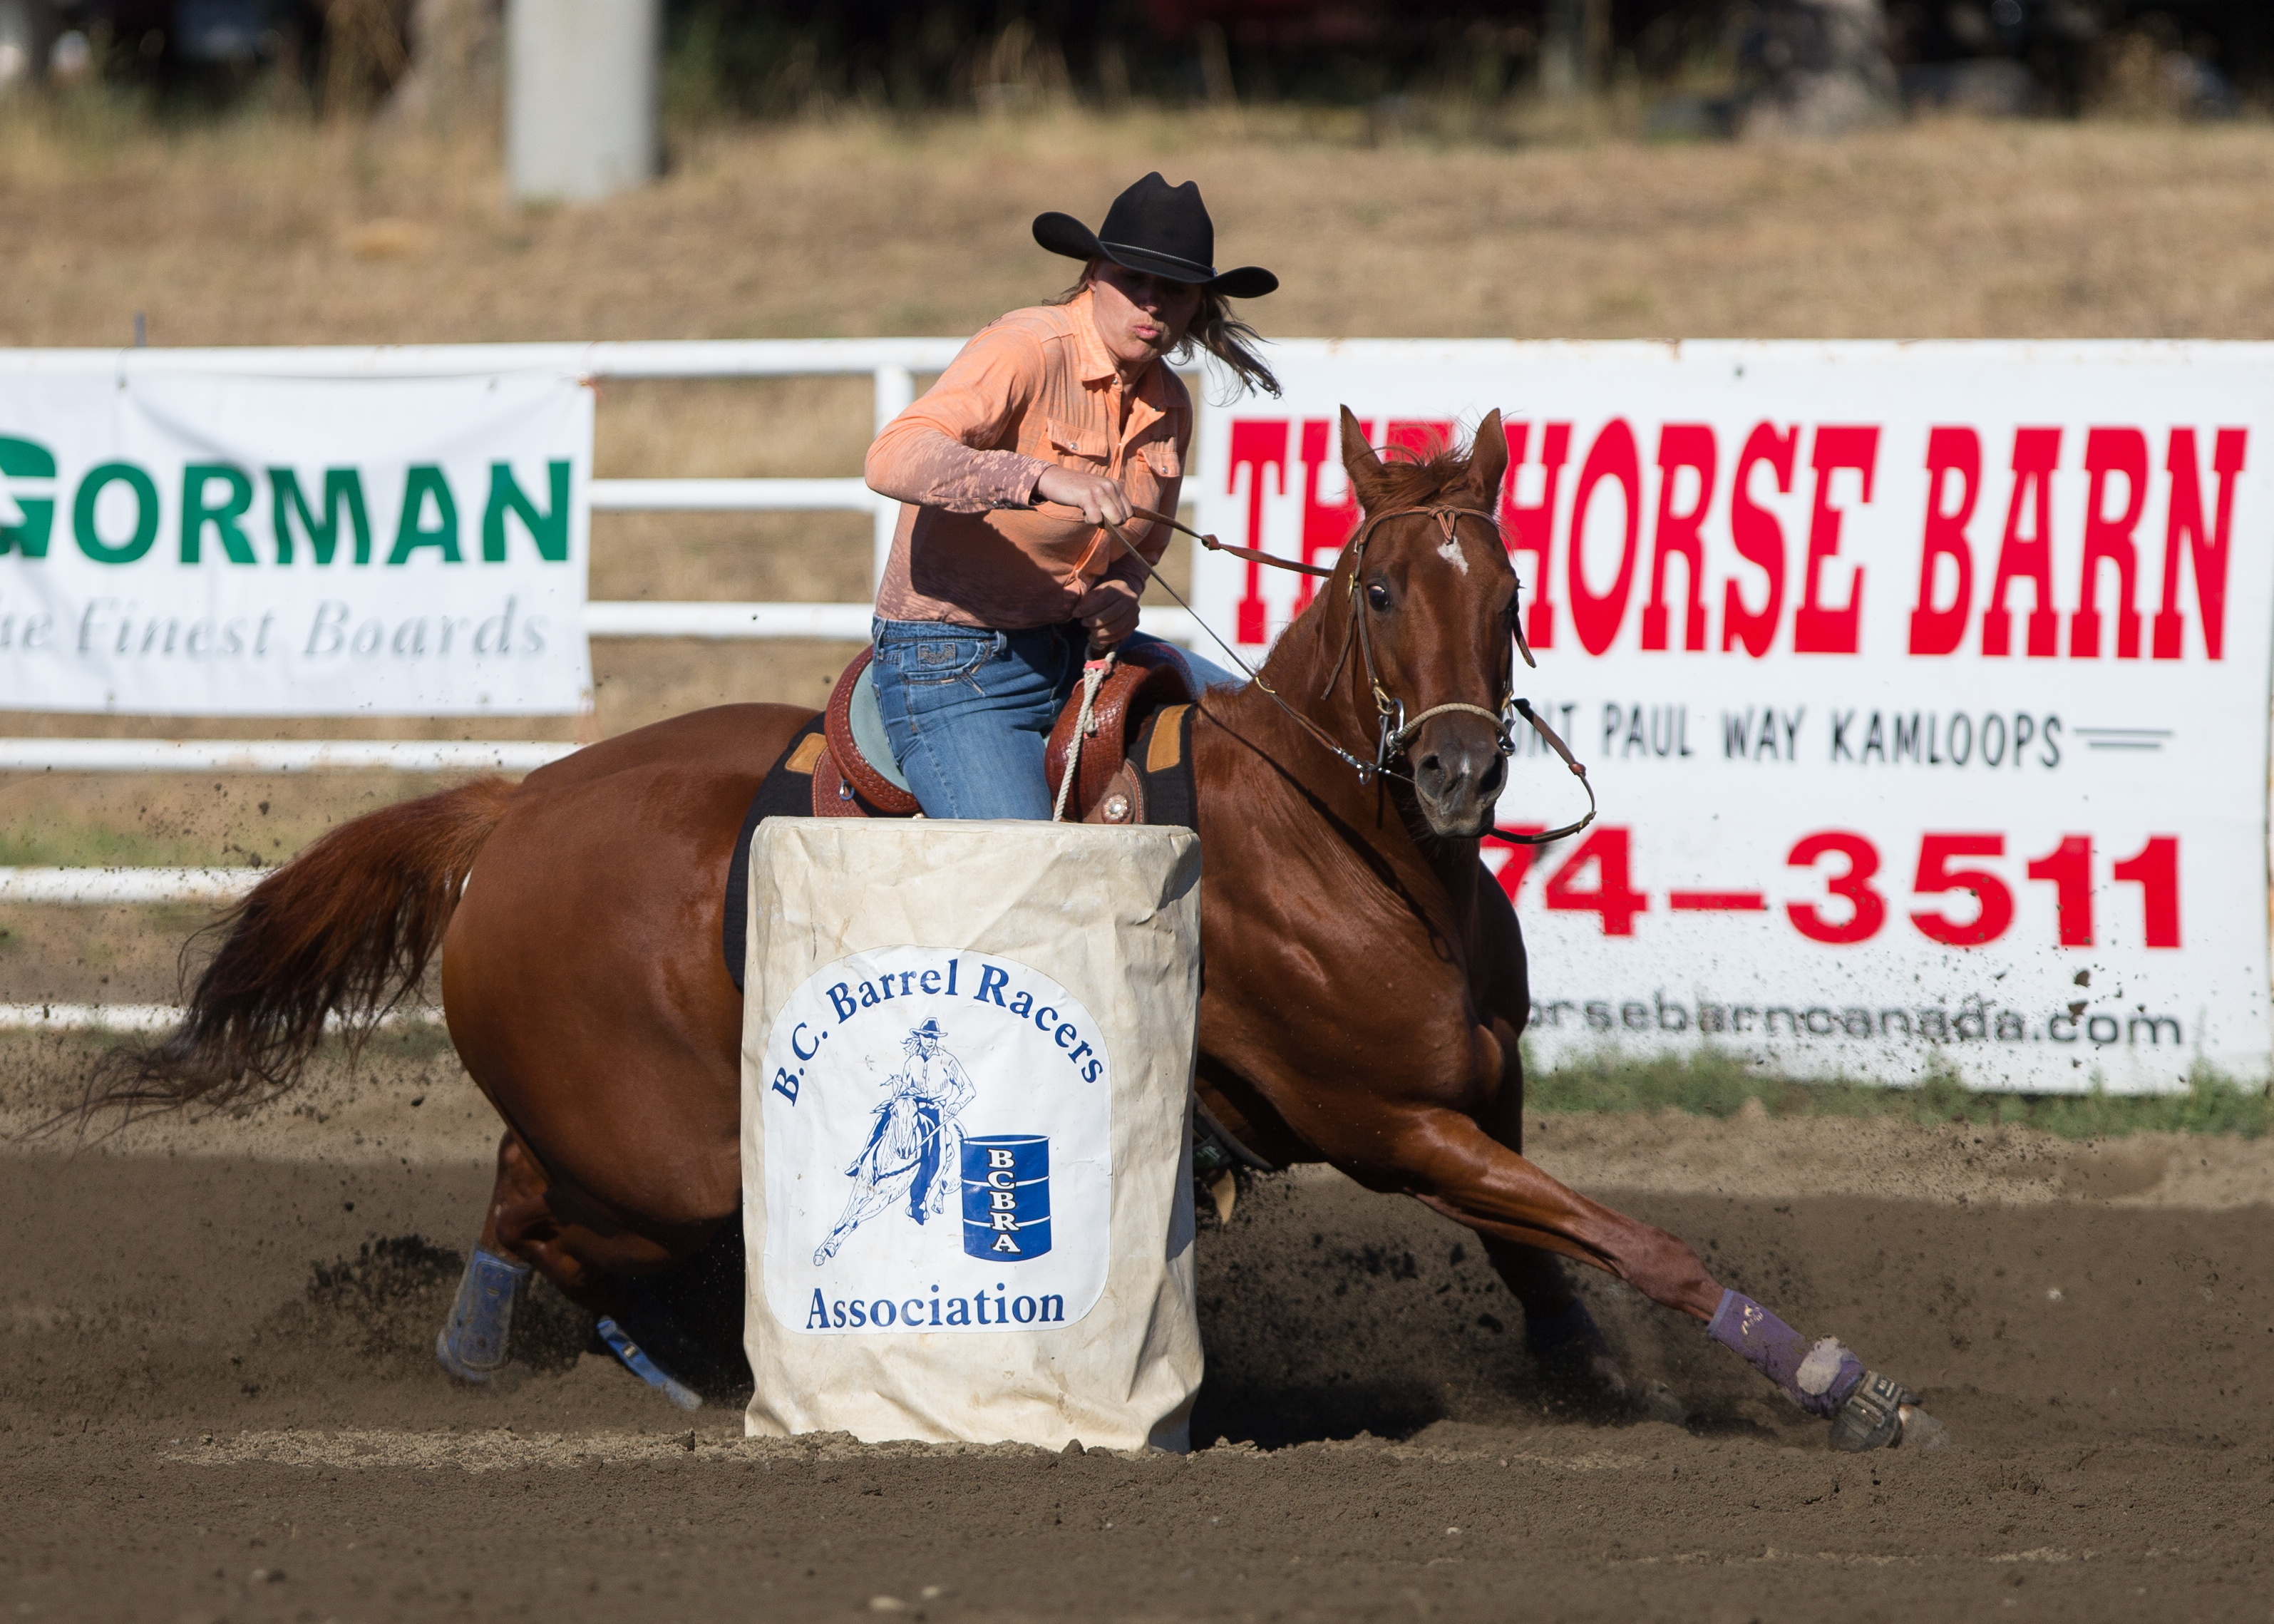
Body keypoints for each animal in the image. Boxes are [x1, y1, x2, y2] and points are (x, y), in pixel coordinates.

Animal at [110, 411, 1937, 1446]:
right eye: (1372, 588)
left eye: (1503, 589)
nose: (1455, 767)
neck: (1334, 841)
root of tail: (519, 808)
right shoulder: (1392, 1124)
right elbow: (1636, 1239)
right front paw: (1843, 1386)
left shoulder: (1480, 1101)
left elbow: (1552, 1255)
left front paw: (1599, 1387)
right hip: (658, 1159)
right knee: (540, 1218)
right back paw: (584, 1361)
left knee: (520, 1189)